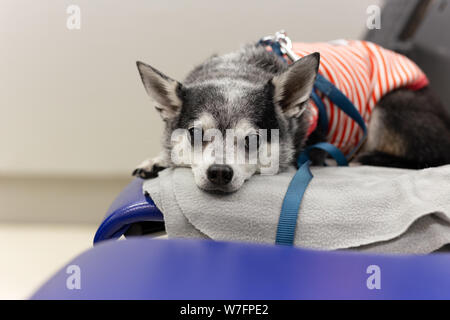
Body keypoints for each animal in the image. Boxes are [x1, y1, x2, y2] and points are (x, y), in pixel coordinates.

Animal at [133, 42, 450, 192]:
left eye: (252, 140)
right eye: (195, 135)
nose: (220, 172)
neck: (239, 68)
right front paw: (157, 160)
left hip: (389, 109)